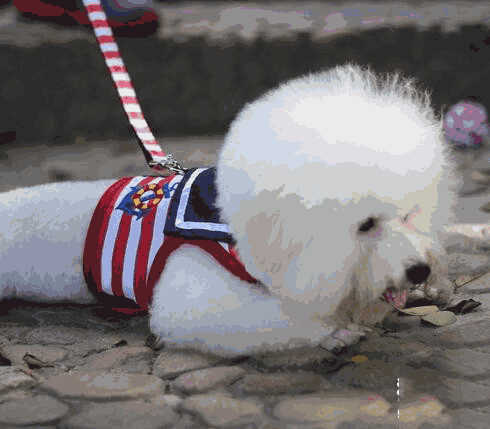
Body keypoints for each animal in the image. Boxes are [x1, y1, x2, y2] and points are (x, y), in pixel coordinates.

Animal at [0, 63, 460, 356]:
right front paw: (335, 331)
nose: (420, 270)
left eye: (410, 214)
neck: (237, 228)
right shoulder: (194, 297)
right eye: (365, 225)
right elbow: (279, 316)